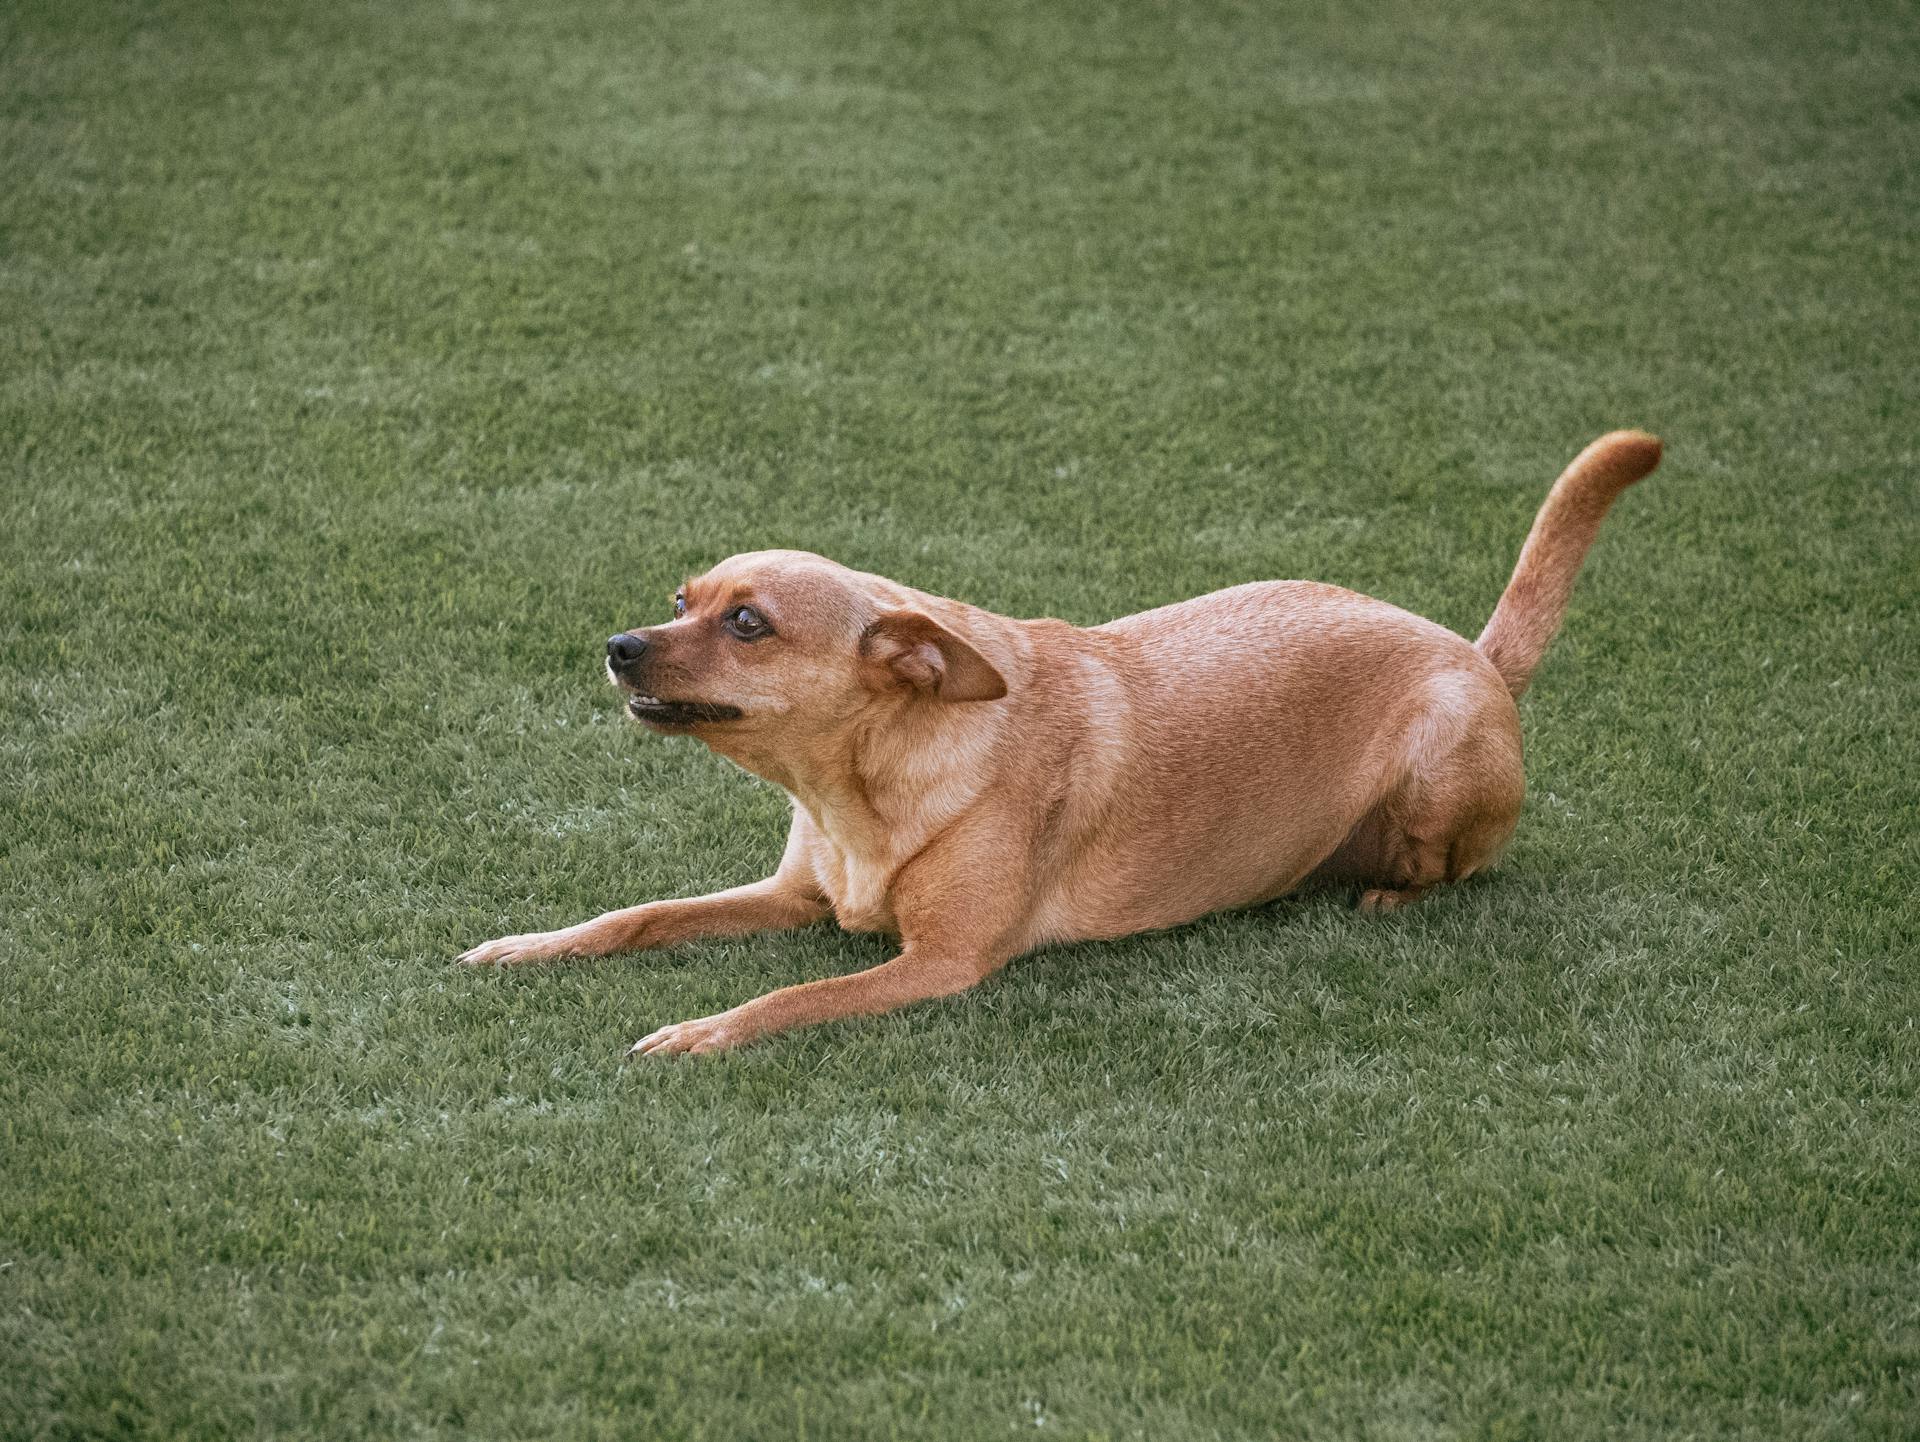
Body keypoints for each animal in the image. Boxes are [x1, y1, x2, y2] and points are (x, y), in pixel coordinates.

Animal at [456, 433, 1658, 1052]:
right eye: (681, 598)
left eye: (748, 624)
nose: (618, 645)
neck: (863, 787)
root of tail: (1472, 649)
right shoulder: (797, 897)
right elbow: (636, 915)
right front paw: (529, 945)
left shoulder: (940, 965)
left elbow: (791, 1000)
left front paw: (704, 1029)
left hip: (1441, 764)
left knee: (1448, 873)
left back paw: (1380, 894)